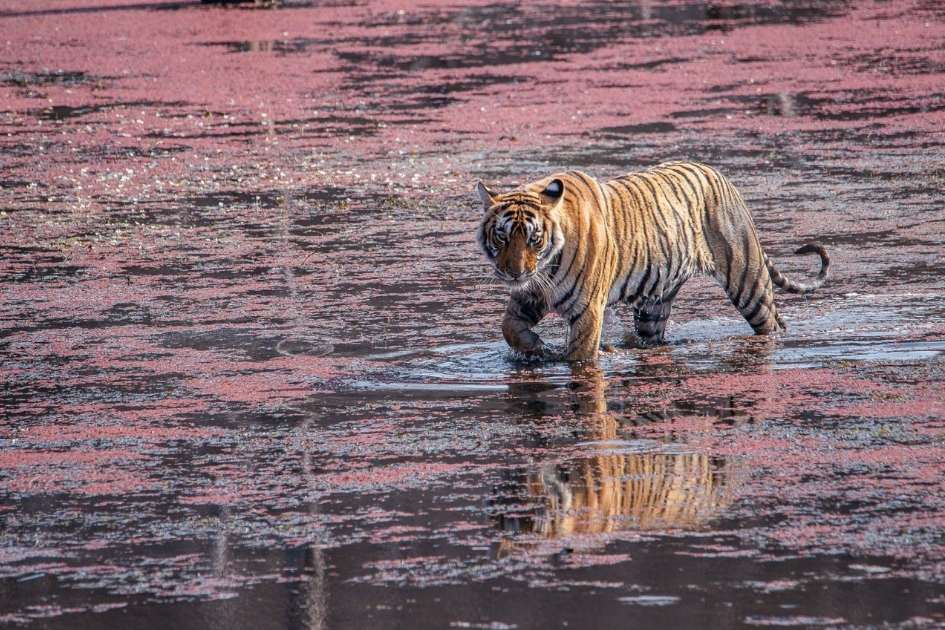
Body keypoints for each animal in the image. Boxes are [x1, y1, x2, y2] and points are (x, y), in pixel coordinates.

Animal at [475, 160, 830, 362]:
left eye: (533, 238)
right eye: (502, 237)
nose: (514, 272)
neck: (544, 270)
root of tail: (717, 173)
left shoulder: (587, 309)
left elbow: (580, 356)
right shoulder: (529, 295)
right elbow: (509, 328)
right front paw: (535, 348)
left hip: (748, 283)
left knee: (772, 323)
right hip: (654, 304)